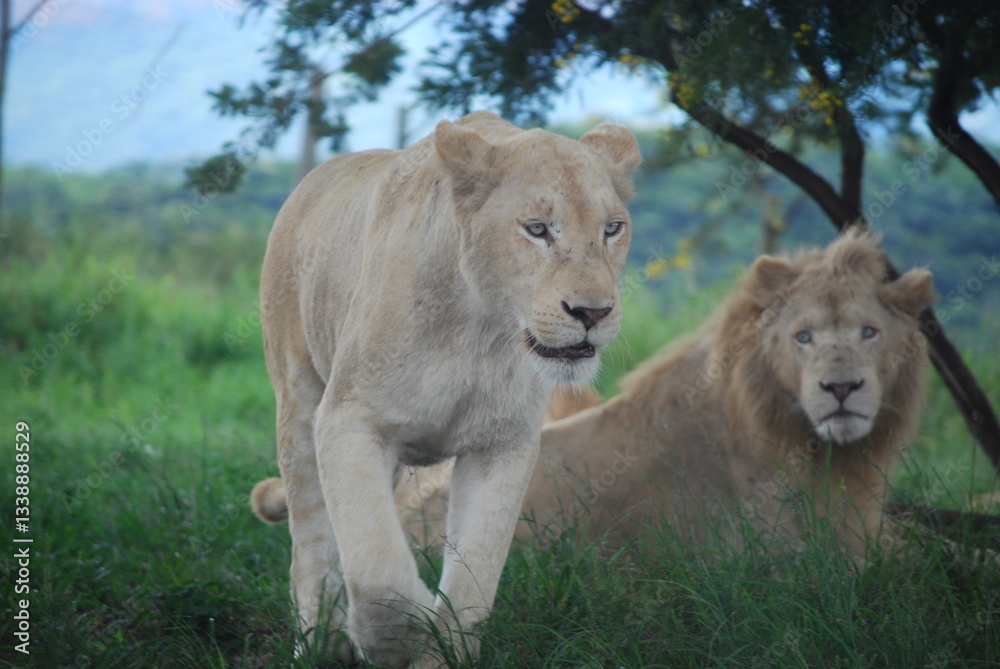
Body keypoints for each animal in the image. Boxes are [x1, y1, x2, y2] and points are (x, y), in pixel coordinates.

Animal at [251, 110, 640, 668]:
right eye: (537, 229)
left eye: (612, 229)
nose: (593, 313)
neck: (481, 330)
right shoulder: (348, 419)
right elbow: (375, 565)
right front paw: (398, 637)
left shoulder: (504, 444)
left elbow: (475, 575)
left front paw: (441, 651)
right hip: (299, 403)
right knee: (311, 546)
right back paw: (319, 643)